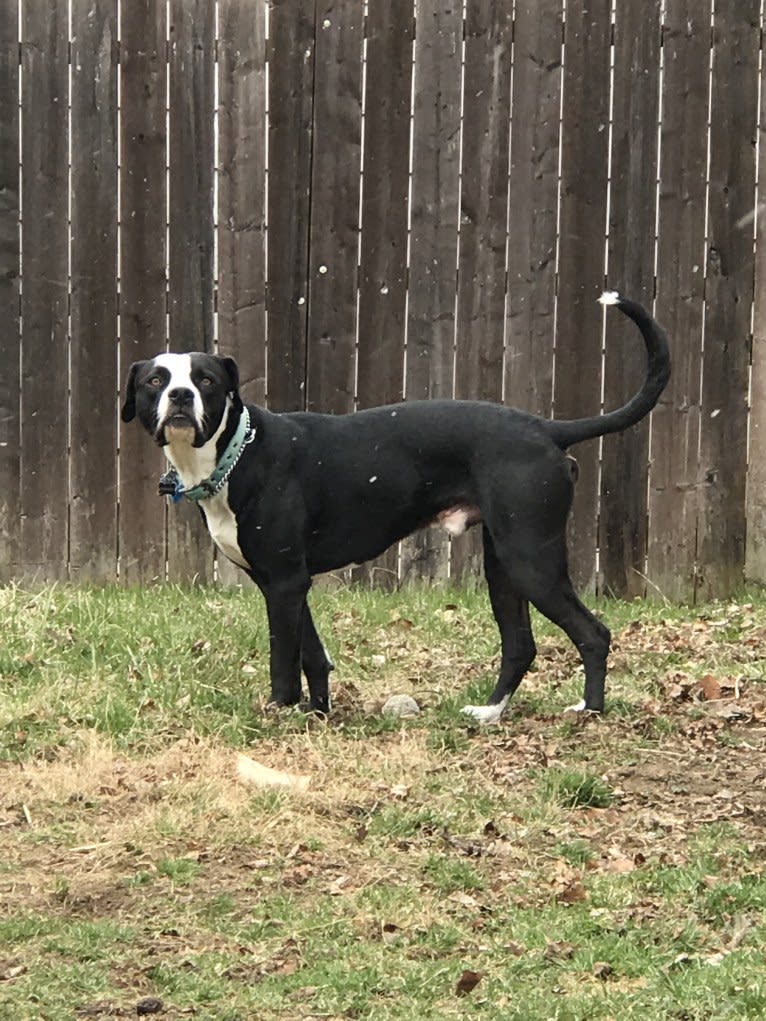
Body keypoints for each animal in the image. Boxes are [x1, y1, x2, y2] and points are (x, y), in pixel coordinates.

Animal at [123, 292, 669, 722]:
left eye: (206, 380)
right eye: (155, 380)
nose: (179, 394)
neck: (237, 452)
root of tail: (545, 428)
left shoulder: (283, 583)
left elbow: (284, 662)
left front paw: (279, 714)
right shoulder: (285, 583)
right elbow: (312, 654)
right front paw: (318, 712)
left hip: (532, 561)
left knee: (593, 633)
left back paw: (590, 710)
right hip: (504, 566)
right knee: (520, 645)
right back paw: (490, 713)